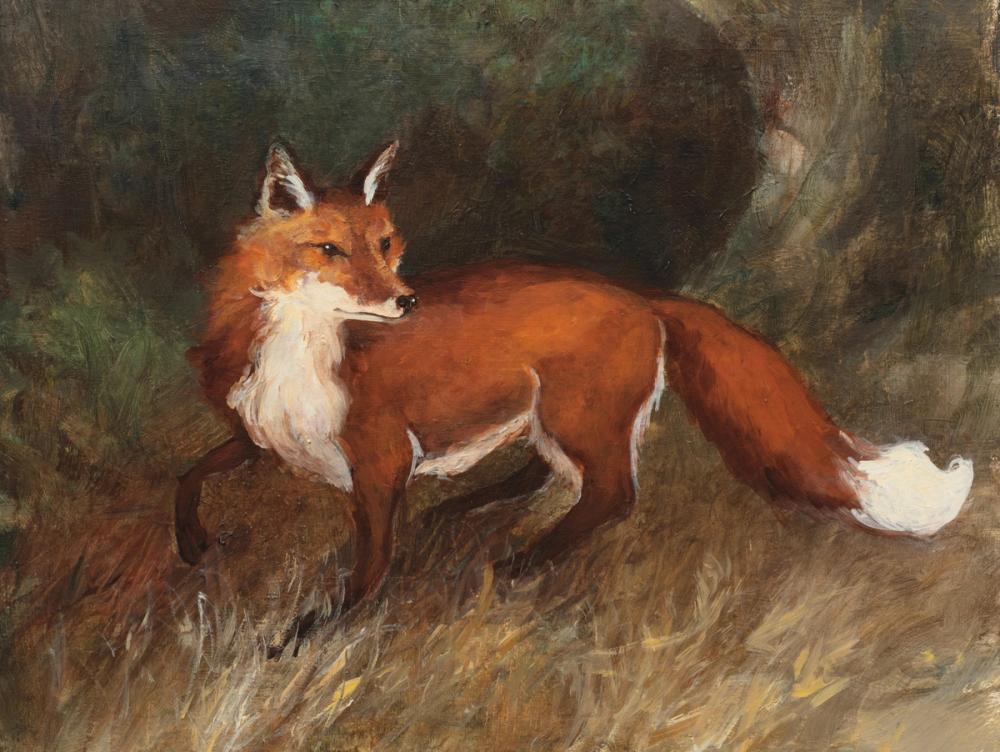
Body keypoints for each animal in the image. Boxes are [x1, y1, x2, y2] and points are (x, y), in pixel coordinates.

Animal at [177, 141, 974, 624]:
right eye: (329, 250)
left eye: (385, 244)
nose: (405, 302)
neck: (303, 355)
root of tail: (641, 295)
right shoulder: (260, 436)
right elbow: (190, 473)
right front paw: (191, 546)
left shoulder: (380, 460)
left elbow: (369, 565)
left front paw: (318, 630)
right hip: (553, 417)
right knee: (549, 477)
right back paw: (465, 513)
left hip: (576, 416)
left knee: (611, 495)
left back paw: (521, 562)